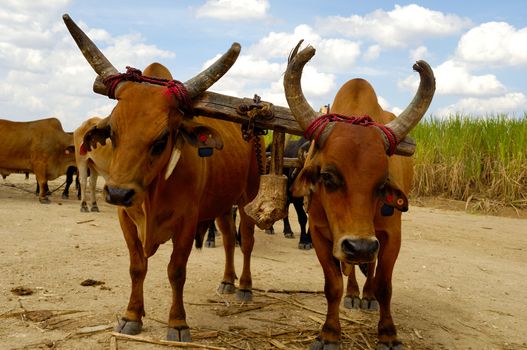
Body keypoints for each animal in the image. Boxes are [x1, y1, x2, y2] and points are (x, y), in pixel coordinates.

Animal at [286, 43, 436, 350]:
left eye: (381, 184)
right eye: (327, 177)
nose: (361, 246)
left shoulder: (390, 236)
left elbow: (384, 285)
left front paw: (388, 333)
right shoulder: (320, 234)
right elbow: (333, 285)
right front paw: (329, 333)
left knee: (373, 270)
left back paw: (366, 296)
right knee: (352, 268)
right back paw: (354, 293)